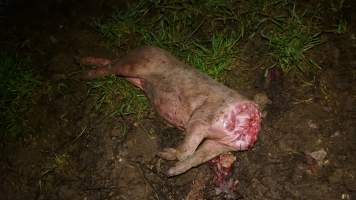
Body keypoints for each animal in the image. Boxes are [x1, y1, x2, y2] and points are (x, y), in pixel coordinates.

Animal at [81, 46, 262, 176]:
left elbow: (194, 157)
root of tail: (146, 46)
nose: (253, 124)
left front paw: (168, 168)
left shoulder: (219, 143)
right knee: (113, 65)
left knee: (112, 64)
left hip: (134, 75)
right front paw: (163, 157)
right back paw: (84, 71)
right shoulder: (202, 116)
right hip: (136, 63)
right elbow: (188, 151)